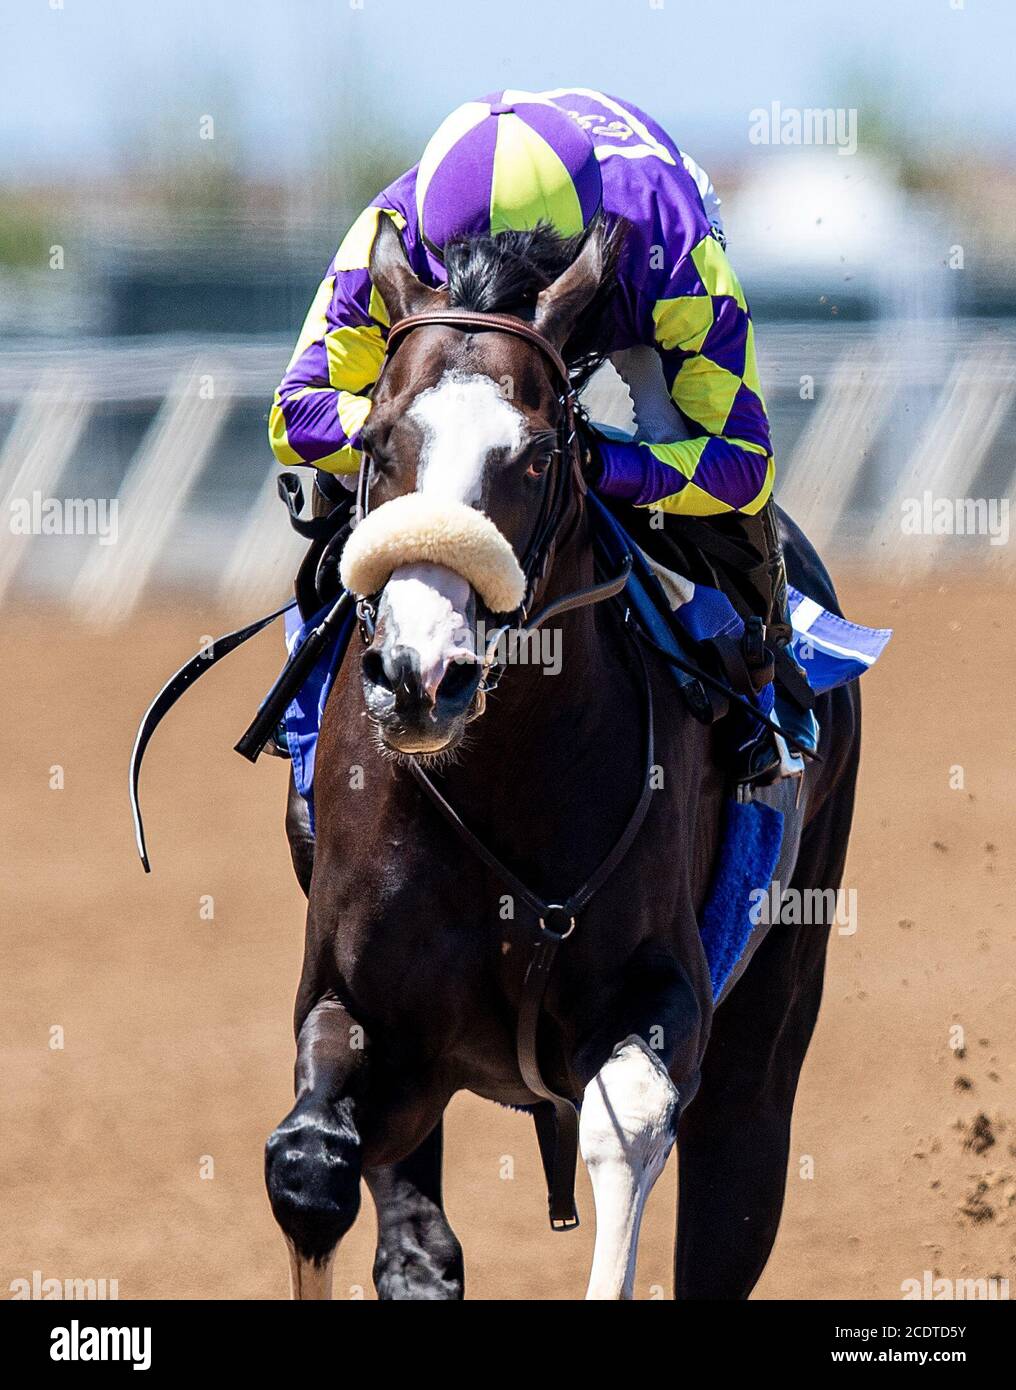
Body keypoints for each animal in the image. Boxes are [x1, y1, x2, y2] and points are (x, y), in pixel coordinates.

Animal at [266, 211, 861, 1295]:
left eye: (540, 456)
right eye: (376, 440)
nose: (421, 674)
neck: (501, 780)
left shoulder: (666, 996)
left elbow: (627, 1126)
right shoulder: (358, 1009)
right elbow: (310, 1166)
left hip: (774, 1012)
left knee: (734, 1184)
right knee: (410, 1235)